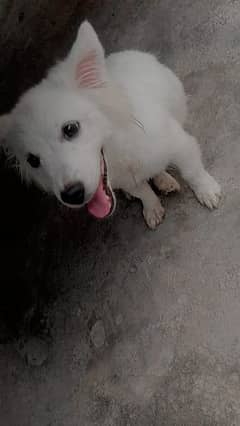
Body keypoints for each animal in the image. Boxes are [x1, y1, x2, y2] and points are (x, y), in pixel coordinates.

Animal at [0, 22, 221, 230]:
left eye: (70, 129)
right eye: (33, 160)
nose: (72, 195)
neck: (120, 152)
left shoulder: (180, 144)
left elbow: (193, 172)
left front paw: (206, 190)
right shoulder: (123, 181)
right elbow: (142, 192)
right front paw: (151, 207)